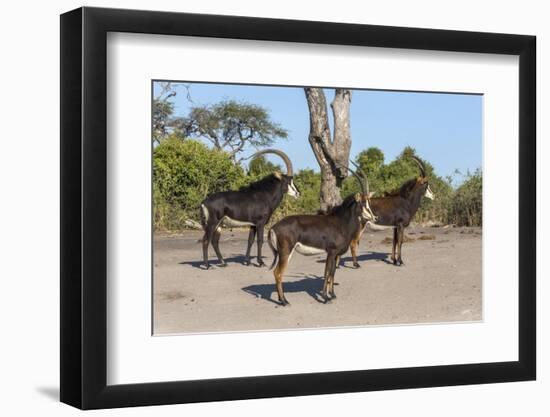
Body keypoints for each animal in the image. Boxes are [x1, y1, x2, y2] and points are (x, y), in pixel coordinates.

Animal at [268, 166, 380, 306]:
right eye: (363, 204)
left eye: (369, 202)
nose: (375, 218)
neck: (341, 222)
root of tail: (273, 228)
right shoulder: (331, 252)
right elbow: (327, 273)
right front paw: (325, 297)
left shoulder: (335, 254)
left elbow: (333, 273)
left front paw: (332, 294)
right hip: (285, 252)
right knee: (277, 273)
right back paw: (284, 301)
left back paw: (281, 299)